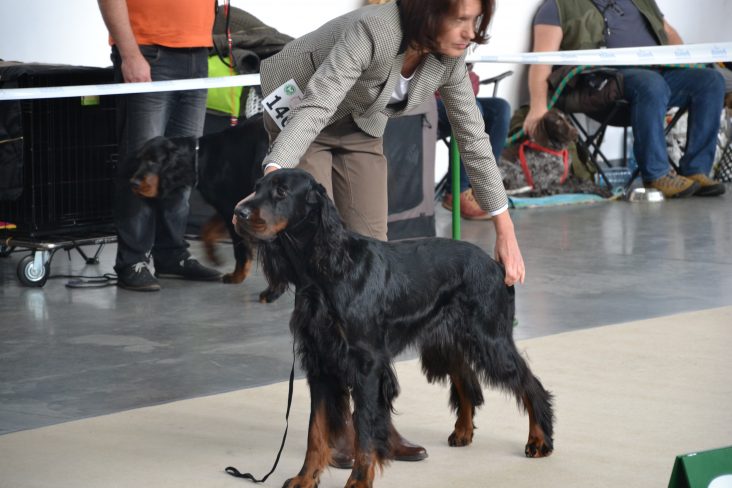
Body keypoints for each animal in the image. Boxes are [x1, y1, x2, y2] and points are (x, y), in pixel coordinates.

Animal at [129, 115, 284, 304]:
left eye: (153, 161)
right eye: (140, 159)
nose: (133, 183)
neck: (201, 158)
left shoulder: (233, 207)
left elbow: (240, 249)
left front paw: (237, 276)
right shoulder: (232, 206)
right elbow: (207, 229)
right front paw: (214, 257)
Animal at [234, 169, 556, 488]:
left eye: (282, 192)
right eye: (257, 186)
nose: (239, 212)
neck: (326, 269)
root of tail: (496, 265)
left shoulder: (365, 364)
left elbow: (364, 427)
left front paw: (358, 481)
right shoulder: (321, 362)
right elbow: (316, 431)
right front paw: (305, 478)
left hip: (490, 339)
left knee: (530, 384)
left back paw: (539, 440)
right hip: (445, 340)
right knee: (465, 379)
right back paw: (463, 431)